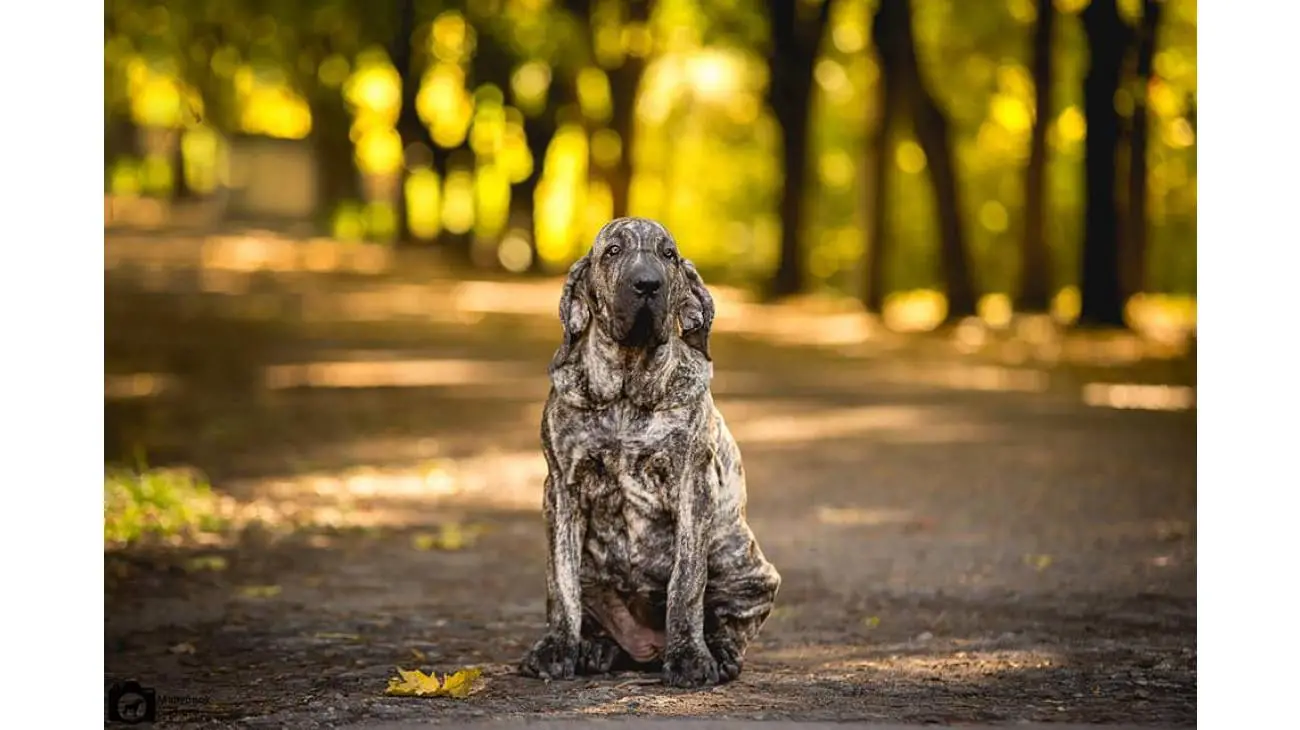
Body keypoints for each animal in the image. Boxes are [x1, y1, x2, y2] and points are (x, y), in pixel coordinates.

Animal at [517, 216, 780, 685]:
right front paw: (557, 648)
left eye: (669, 255)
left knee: (730, 621)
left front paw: (689, 657)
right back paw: (595, 648)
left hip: (742, 563)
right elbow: (560, 583)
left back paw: (718, 652)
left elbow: (686, 583)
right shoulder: (562, 489)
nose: (647, 284)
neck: (625, 388)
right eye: (613, 251)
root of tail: (644, 649)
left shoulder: (692, 486)